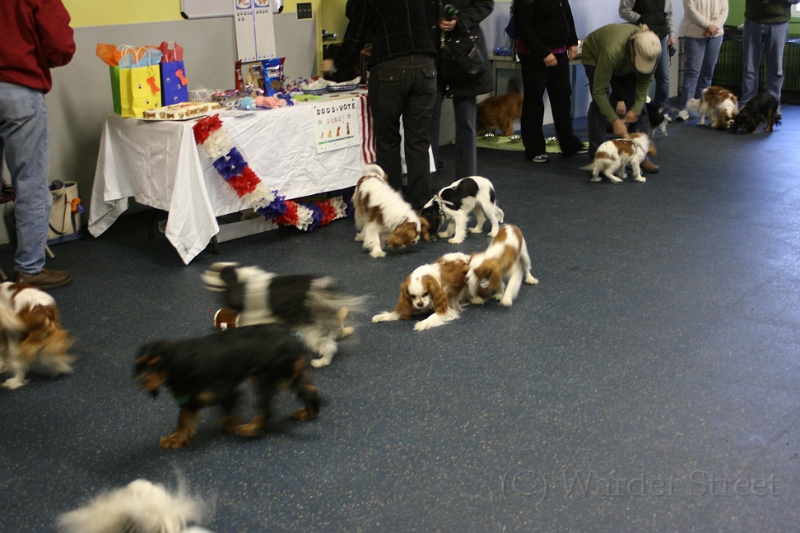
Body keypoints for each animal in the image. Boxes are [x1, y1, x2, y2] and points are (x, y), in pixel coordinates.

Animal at [135, 324, 321, 449]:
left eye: (157, 364)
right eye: (141, 365)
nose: (141, 381)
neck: (182, 364)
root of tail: (292, 339)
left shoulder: (226, 391)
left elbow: (230, 408)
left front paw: (231, 423)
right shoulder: (190, 399)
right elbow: (183, 419)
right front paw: (177, 438)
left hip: (263, 377)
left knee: (267, 409)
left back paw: (251, 428)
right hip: (287, 375)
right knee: (310, 390)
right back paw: (308, 413)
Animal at [202, 262, 363, 368]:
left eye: (216, 273)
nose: (204, 274)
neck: (242, 281)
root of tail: (318, 289)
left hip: (311, 329)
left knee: (328, 346)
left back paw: (320, 362)